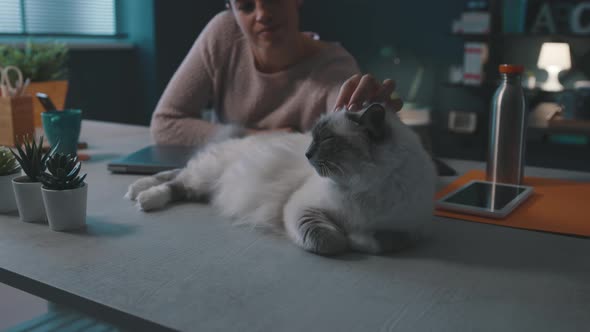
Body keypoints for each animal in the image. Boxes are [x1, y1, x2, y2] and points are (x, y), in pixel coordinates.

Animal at [126, 105, 440, 255]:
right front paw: (346, 237)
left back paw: (135, 191)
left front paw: (356, 236)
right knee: (174, 181)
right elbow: (331, 241)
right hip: (205, 177)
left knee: (173, 176)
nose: (307, 154)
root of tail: (240, 140)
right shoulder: (303, 209)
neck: (367, 188)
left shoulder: (408, 232)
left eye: (326, 140)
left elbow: (376, 242)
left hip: (205, 185)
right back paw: (143, 197)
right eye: (313, 137)